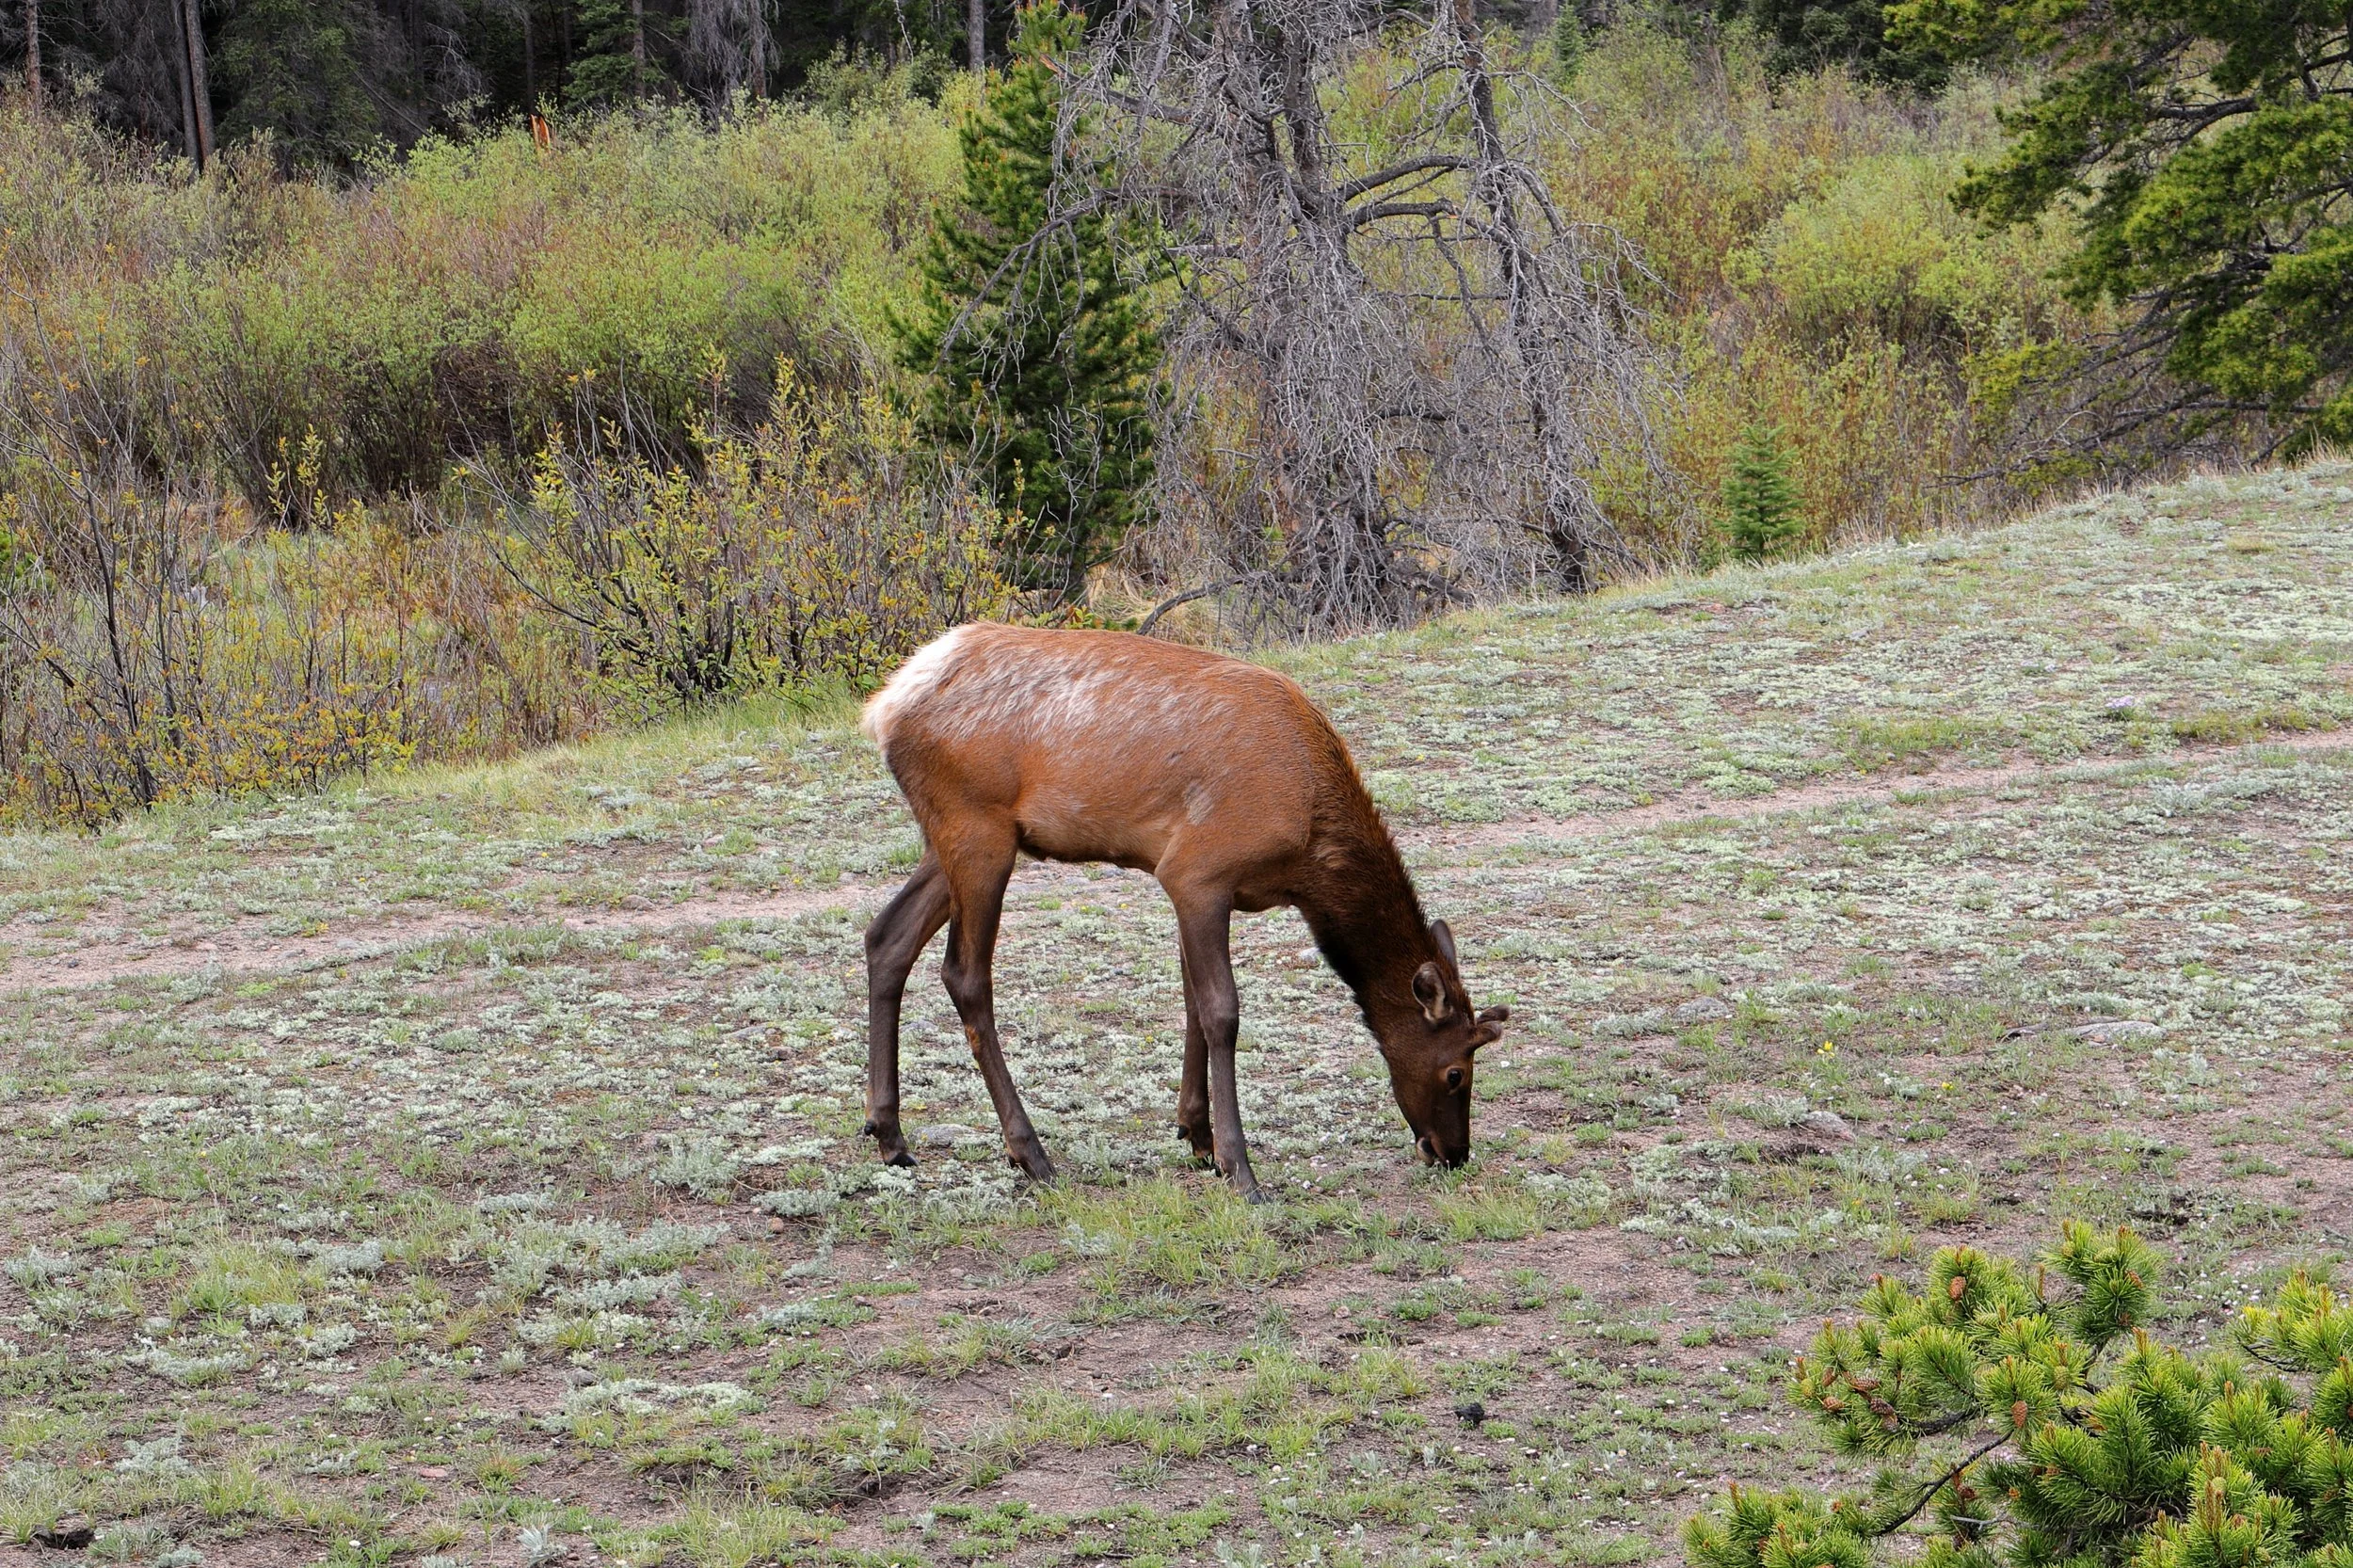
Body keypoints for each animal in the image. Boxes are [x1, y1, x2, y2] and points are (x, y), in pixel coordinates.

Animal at [857, 623, 1509, 1202]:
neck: (1308, 858)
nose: (1454, 1153)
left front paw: (1197, 1136)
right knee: (965, 976)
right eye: (1457, 1071)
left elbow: (1192, 998)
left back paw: (890, 1135)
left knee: (886, 936)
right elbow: (1221, 1011)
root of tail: (886, 706)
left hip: (956, 837)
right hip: (978, 829)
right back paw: (1031, 1153)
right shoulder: (1198, 872)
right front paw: (1240, 1168)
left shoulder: (1189, 883)